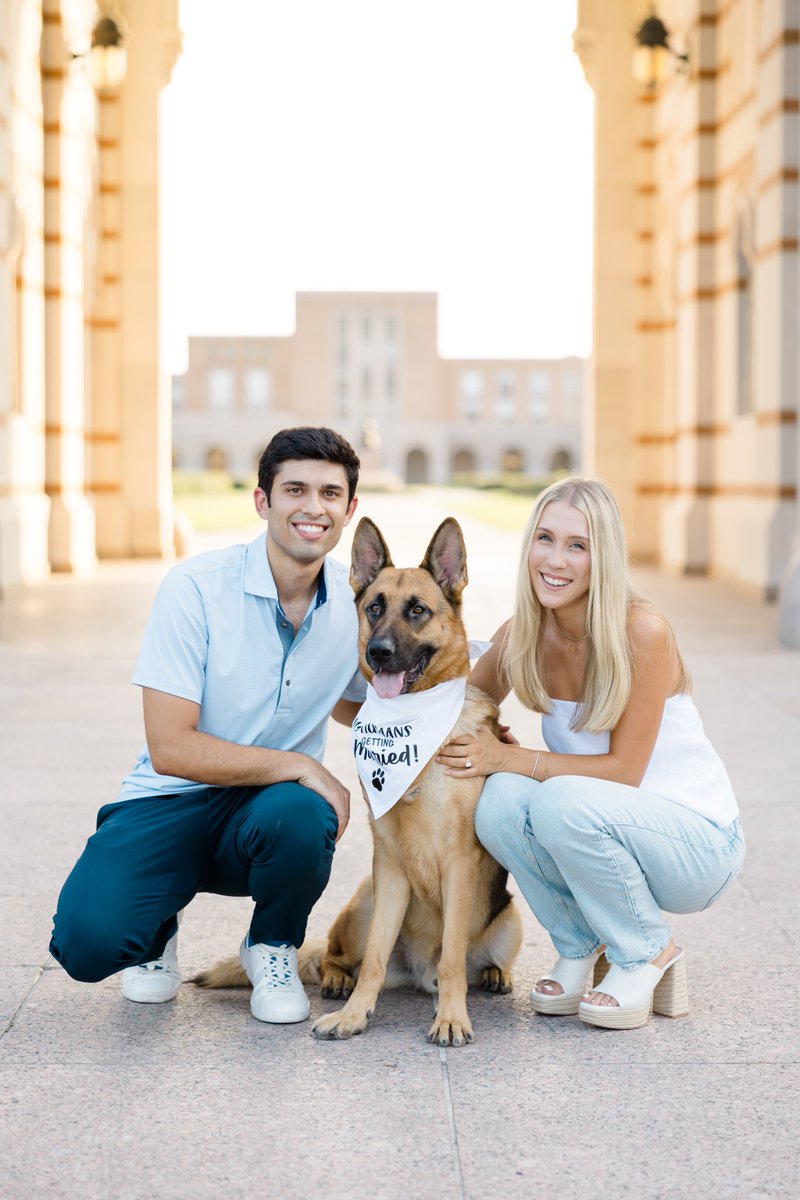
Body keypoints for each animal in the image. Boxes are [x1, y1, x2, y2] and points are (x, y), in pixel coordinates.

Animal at [193, 520, 520, 1046]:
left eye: (418, 610)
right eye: (374, 608)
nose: (378, 653)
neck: (414, 725)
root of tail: (418, 975)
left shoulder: (460, 866)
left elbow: (452, 957)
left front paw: (451, 1017)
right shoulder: (388, 865)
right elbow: (373, 964)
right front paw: (353, 1015)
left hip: (511, 921)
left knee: (467, 963)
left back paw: (492, 975)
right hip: (366, 899)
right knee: (336, 955)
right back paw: (334, 981)